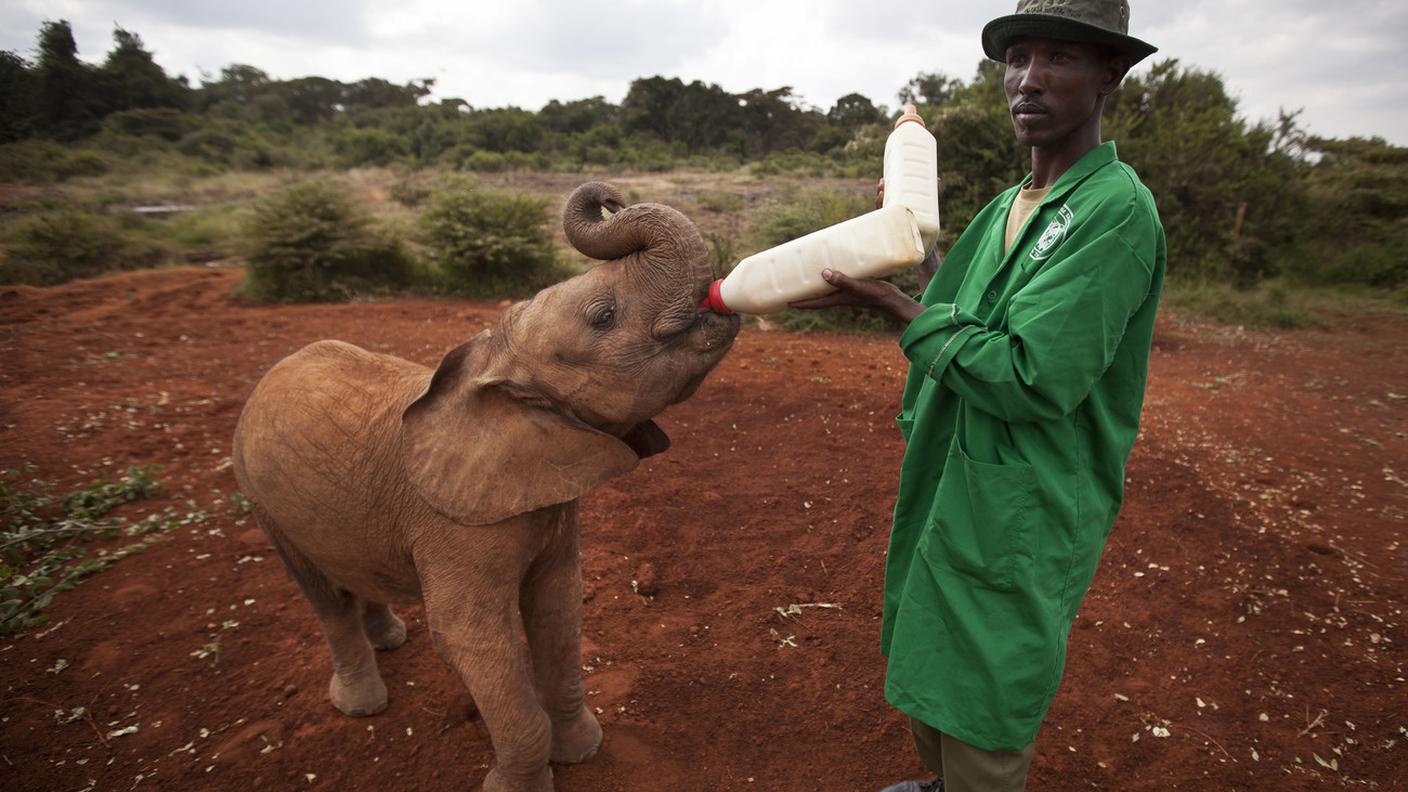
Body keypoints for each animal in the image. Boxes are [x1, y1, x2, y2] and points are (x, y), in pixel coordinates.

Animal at [233, 180, 737, 789]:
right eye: (603, 316)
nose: (611, 198)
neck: (494, 364)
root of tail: (269, 373)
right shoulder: (451, 525)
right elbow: (467, 635)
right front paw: (517, 785)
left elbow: (557, 608)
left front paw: (582, 753)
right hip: (262, 499)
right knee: (325, 598)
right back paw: (363, 704)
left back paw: (390, 640)